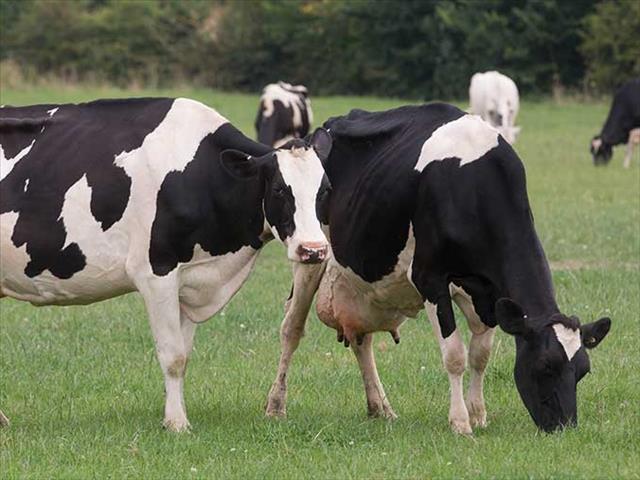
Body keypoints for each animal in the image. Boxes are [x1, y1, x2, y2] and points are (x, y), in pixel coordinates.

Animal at [0, 97, 332, 431]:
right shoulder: (156, 271)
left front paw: (174, 413)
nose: (313, 250)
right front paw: (177, 423)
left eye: (325, 190)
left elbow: (184, 354)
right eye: (279, 189)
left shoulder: (190, 279)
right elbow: (173, 356)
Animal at [265, 103, 612, 435]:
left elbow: (480, 354)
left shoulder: (485, 290)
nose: (564, 426)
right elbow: (455, 355)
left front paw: (478, 414)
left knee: (361, 339)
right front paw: (460, 422)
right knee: (291, 329)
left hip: (360, 281)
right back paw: (276, 406)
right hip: (312, 254)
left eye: (583, 371)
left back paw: (381, 407)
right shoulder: (429, 277)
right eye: (543, 366)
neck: (473, 186)